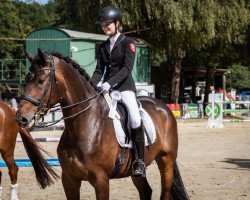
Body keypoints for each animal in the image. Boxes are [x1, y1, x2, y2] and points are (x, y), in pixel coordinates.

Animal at [15, 48, 188, 200]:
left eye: (40, 80)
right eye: (25, 80)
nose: (20, 118)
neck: (84, 125)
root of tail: (163, 106)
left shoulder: (101, 180)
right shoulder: (69, 180)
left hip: (166, 161)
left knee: (165, 192)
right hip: (136, 171)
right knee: (145, 191)